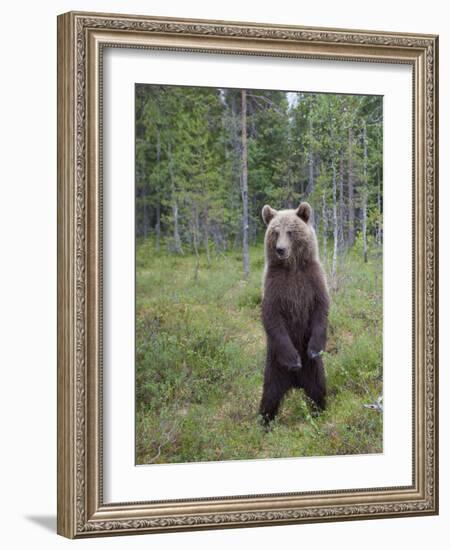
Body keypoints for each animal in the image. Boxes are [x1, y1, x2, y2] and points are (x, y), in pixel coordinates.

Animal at [258, 203, 328, 426]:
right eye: (275, 231)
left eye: (290, 231)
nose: (280, 249)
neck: (292, 267)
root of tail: (296, 383)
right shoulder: (274, 285)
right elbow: (272, 316)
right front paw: (294, 359)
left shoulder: (312, 279)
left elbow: (321, 309)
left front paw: (314, 349)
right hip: (274, 366)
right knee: (270, 397)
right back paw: (264, 423)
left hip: (314, 370)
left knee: (318, 391)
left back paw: (320, 414)